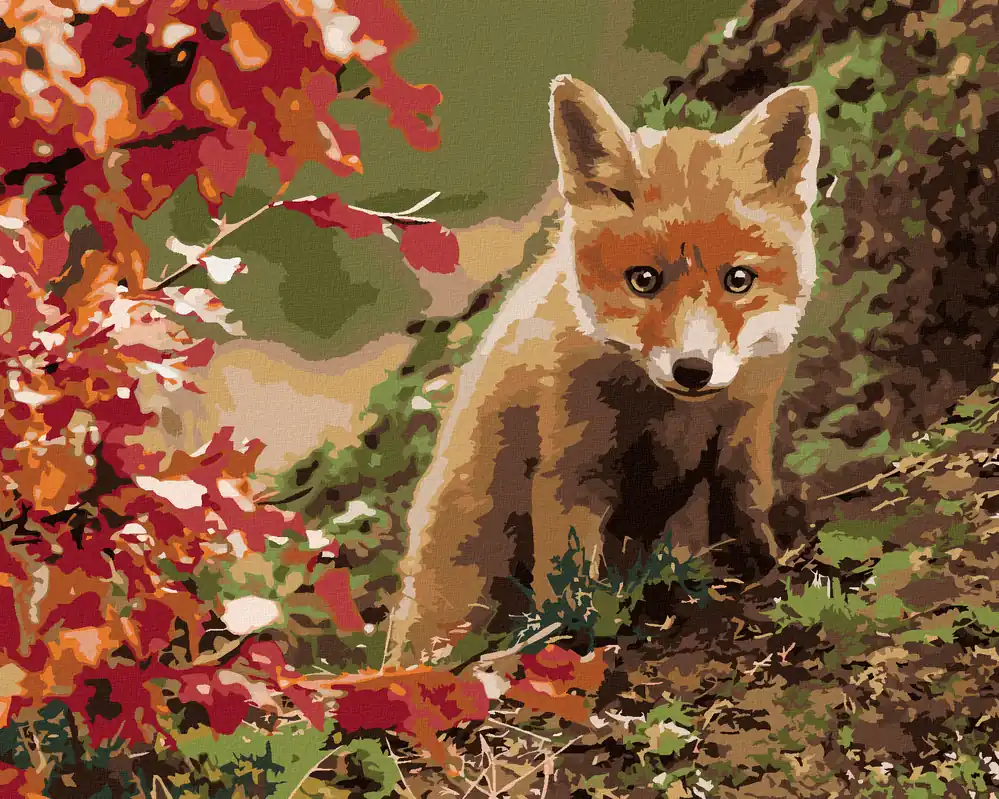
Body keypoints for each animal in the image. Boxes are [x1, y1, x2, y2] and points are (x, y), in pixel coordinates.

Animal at [385, 75, 821, 666]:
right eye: (643, 280)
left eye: (738, 280)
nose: (692, 369)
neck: (671, 417)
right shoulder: (572, 467)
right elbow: (564, 581)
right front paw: (569, 638)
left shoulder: (744, 433)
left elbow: (748, 505)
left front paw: (766, 567)